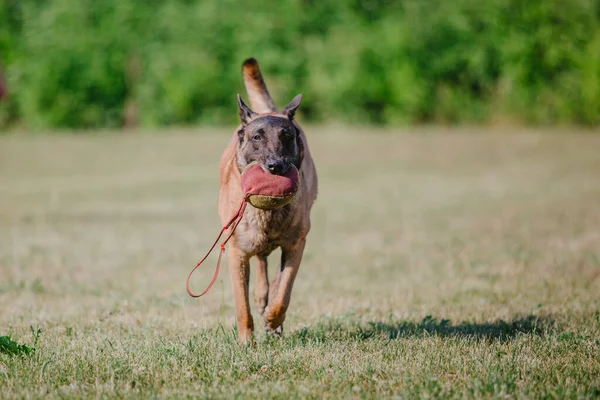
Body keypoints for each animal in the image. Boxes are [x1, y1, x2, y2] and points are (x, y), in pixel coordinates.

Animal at [217, 59, 318, 344]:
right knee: (261, 262)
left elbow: (283, 292)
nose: (275, 166)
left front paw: (273, 320)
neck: (268, 214)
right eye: (257, 137)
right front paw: (245, 341)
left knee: (272, 276)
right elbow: (242, 305)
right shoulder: (236, 252)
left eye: (287, 136)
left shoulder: (296, 245)